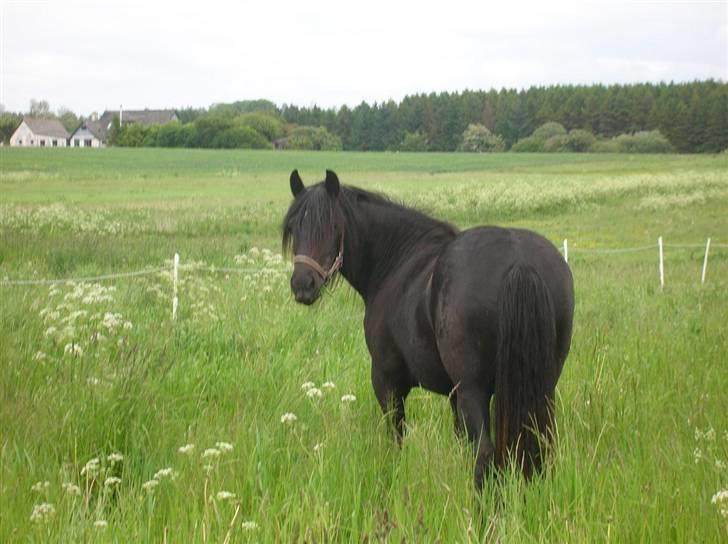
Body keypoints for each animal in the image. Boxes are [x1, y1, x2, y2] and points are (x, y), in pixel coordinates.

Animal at [282, 170, 574, 488]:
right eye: (295, 227)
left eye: (334, 226)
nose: (303, 285)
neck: (397, 260)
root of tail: (519, 262)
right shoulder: (454, 395)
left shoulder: (387, 381)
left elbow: (396, 438)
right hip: (540, 387)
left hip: (474, 391)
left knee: (484, 454)